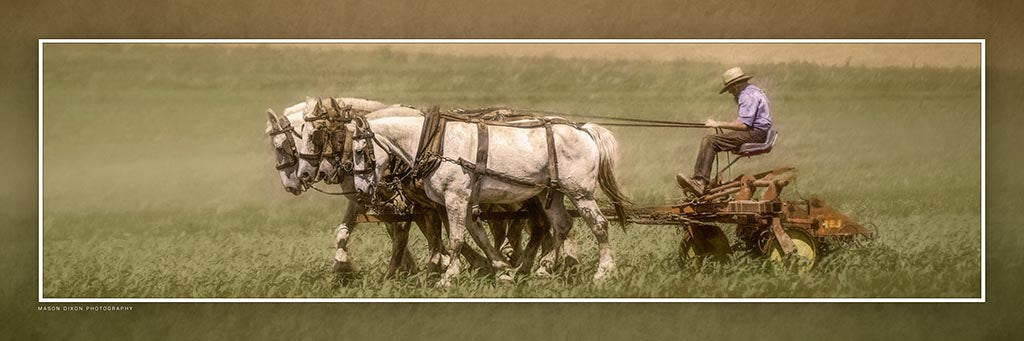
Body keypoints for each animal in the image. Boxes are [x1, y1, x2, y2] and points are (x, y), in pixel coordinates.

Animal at [299, 103, 626, 280]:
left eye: (358, 149)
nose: (361, 189)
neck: (434, 142)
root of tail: (583, 129)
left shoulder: (454, 199)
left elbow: (455, 239)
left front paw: (448, 276)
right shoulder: (458, 202)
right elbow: (475, 235)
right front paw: (499, 269)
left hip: (580, 193)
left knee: (598, 225)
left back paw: (603, 272)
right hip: (552, 194)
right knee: (561, 226)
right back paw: (545, 270)